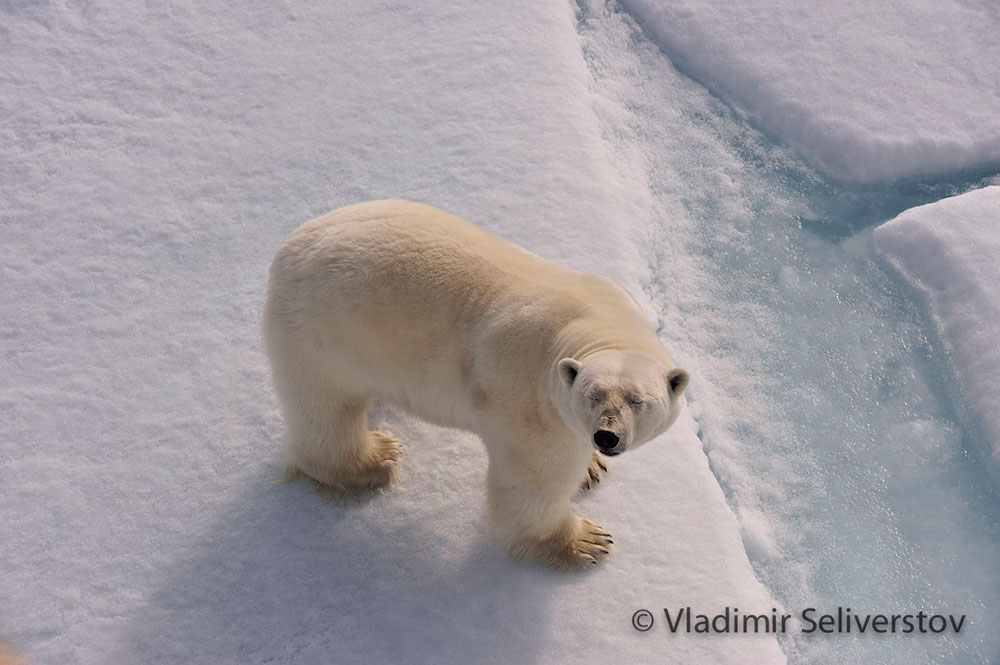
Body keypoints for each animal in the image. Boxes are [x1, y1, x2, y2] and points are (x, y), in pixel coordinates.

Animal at [262, 200, 690, 569]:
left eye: (638, 400)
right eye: (592, 395)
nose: (606, 436)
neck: (590, 324)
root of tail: (288, 249)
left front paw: (592, 467)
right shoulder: (532, 404)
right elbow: (535, 482)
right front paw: (585, 541)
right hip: (327, 335)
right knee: (328, 410)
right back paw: (375, 459)